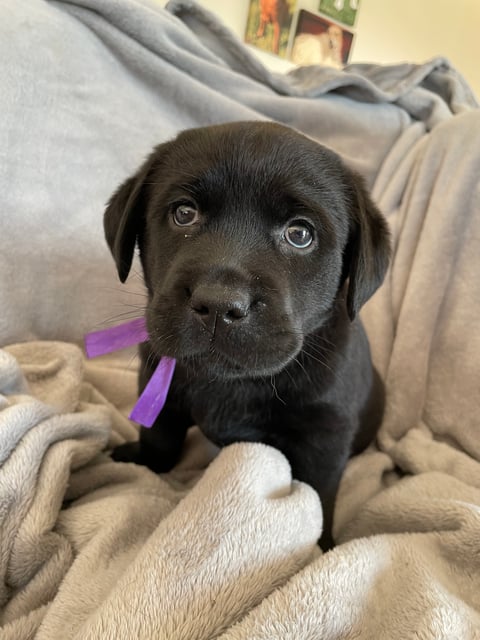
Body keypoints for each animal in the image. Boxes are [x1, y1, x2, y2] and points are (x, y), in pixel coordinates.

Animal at [105, 122, 390, 548]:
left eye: (300, 234)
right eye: (184, 213)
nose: (218, 304)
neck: (235, 383)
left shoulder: (325, 436)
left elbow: (317, 496)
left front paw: (320, 548)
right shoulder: (159, 385)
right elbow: (159, 439)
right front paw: (140, 460)